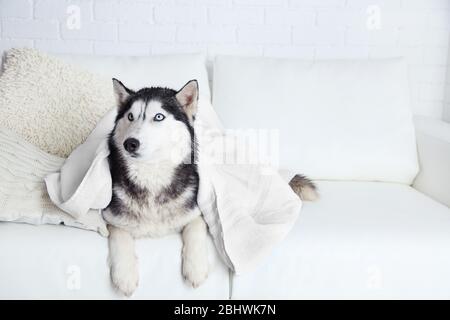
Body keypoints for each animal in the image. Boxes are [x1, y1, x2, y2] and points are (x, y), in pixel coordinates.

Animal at [103, 79, 318, 296]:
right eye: (130, 116)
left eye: (158, 117)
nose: (130, 143)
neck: (152, 176)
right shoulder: (111, 217)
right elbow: (119, 235)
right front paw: (124, 276)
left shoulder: (199, 211)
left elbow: (195, 230)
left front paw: (195, 268)